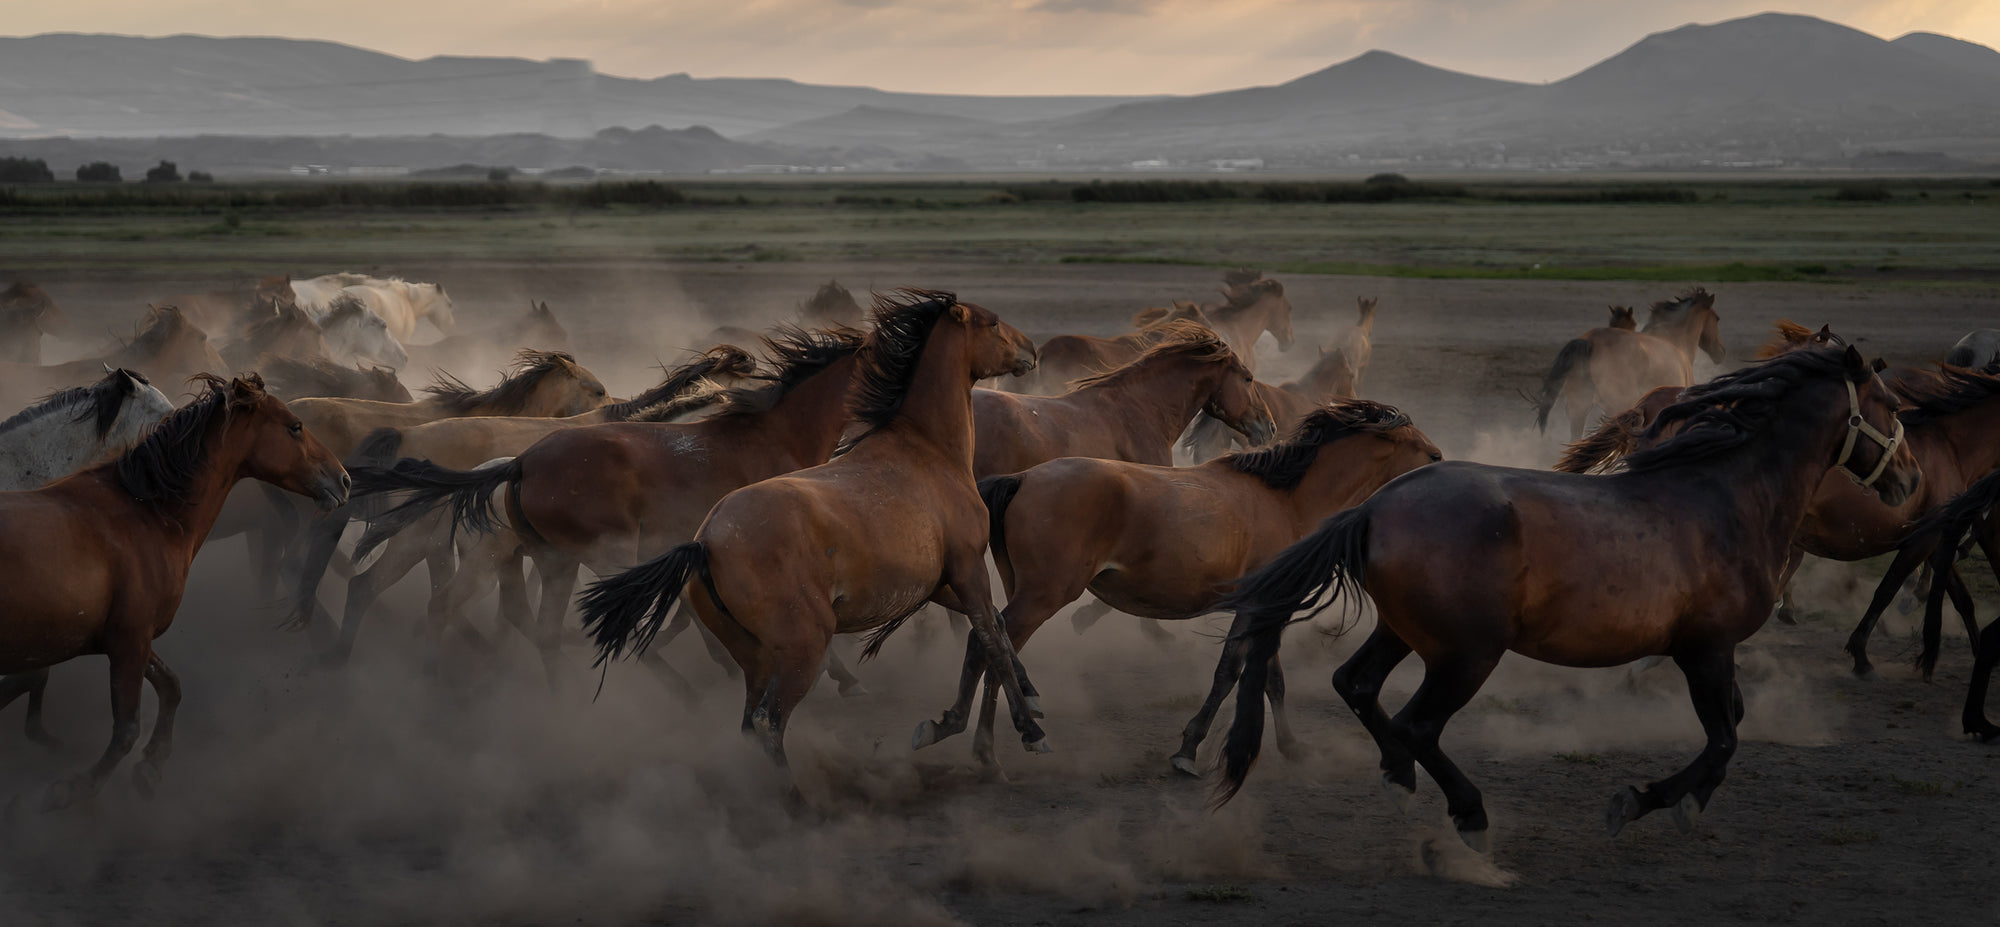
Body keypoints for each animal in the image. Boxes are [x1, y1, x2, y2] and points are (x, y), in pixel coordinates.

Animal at [0, 374, 348, 809]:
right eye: (295, 427)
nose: (345, 480)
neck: (148, 514)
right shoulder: (128, 640)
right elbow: (126, 727)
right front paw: (76, 788)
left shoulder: (126, 637)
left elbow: (171, 686)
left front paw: (151, 766)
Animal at [577, 290, 1044, 782]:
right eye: (993, 323)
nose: (1032, 350)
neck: (928, 450)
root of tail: (706, 543)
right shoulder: (969, 569)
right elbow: (992, 638)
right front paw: (1025, 731)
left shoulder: (940, 583)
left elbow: (993, 631)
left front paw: (974, 716)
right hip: (804, 644)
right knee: (769, 720)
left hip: (757, 654)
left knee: (751, 720)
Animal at [911, 401, 1441, 773]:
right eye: (1429, 453)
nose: (1438, 475)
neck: (1285, 500)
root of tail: (1021, 479)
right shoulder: (1262, 606)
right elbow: (1231, 673)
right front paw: (1188, 749)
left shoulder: (1267, 607)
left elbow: (1269, 677)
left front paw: (1292, 747)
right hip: (1044, 595)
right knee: (991, 650)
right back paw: (995, 745)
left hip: (1021, 588)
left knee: (994, 644)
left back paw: (955, 729)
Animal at [1212, 346, 1916, 856]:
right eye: (1886, 405)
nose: (1910, 479)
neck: (1725, 498)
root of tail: (1373, 507)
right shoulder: (1707, 649)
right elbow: (1722, 740)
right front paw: (1648, 803)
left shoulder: (1707, 653)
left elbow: (1733, 725)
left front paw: (1671, 801)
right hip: (1467, 655)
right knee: (1417, 725)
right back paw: (1470, 814)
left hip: (1404, 632)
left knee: (1356, 686)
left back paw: (1398, 777)